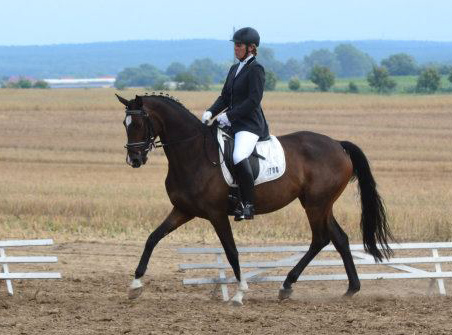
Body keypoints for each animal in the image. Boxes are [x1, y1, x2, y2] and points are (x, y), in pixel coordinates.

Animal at [116, 93, 392, 306]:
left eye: (138, 124)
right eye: (125, 124)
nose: (134, 160)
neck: (193, 154)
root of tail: (337, 144)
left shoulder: (216, 214)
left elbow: (231, 251)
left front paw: (239, 294)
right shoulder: (183, 210)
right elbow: (152, 238)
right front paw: (135, 284)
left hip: (316, 204)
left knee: (321, 239)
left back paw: (288, 285)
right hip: (320, 204)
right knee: (339, 238)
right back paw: (350, 289)